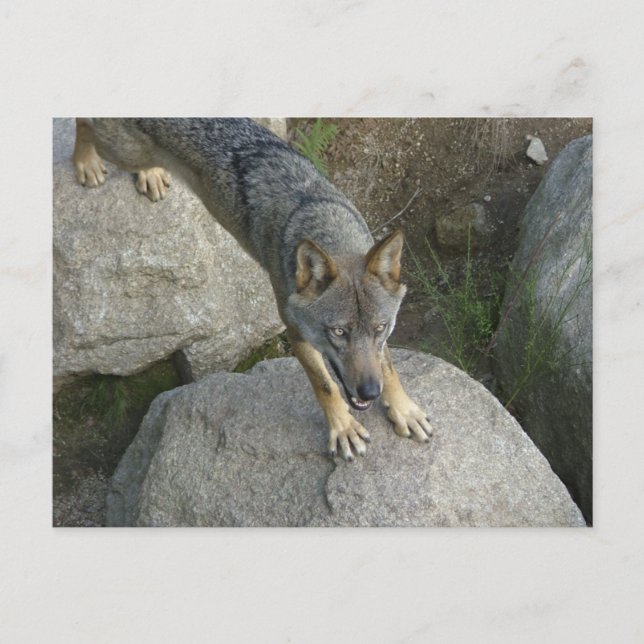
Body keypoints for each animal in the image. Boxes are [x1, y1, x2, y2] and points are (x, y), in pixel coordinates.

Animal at [72, 118, 433, 460]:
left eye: (380, 328)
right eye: (338, 332)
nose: (370, 392)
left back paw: (150, 175)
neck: (321, 221)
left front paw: (404, 410)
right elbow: (325, 386)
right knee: (85, 124)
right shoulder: (295, 333)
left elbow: (388, 367)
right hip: (121, 151)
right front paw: (343, 428)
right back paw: (85, 164)